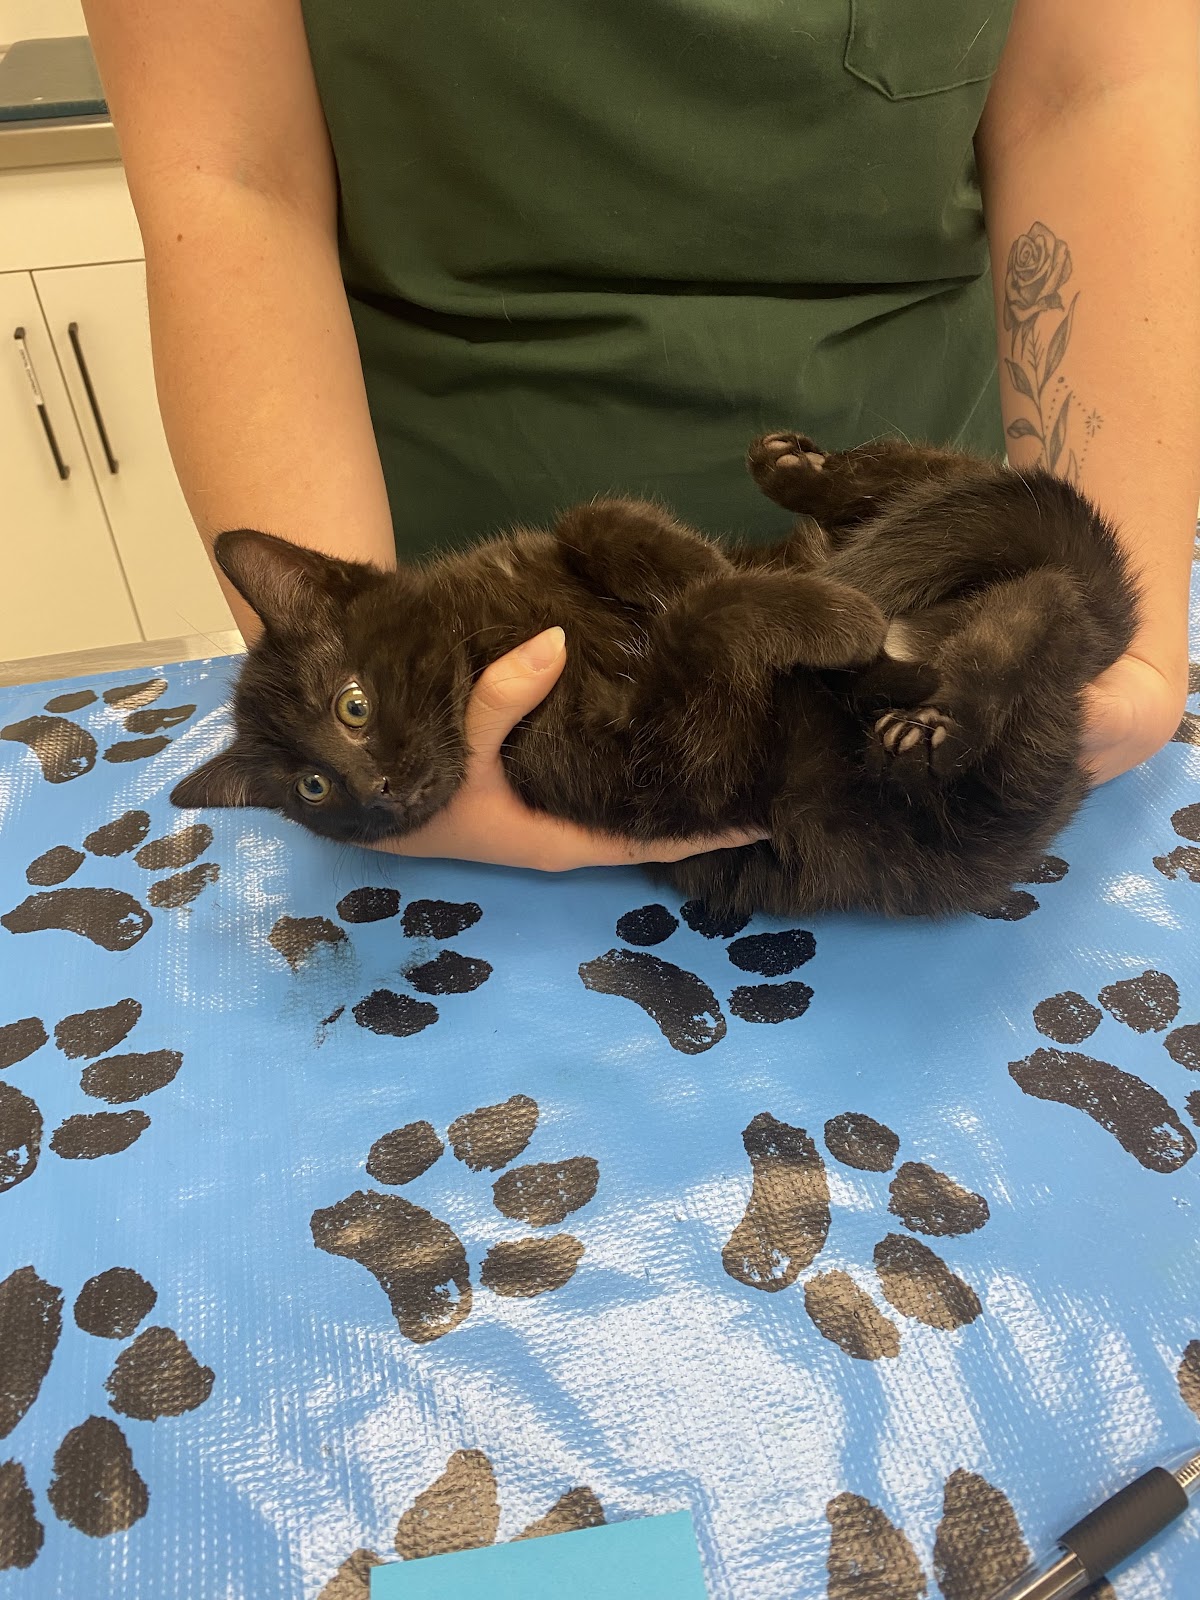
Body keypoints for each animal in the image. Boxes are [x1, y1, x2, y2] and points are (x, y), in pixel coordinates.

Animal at [171, 432, 1138, 918]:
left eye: (353, 706)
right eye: (313, 789)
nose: (377, 788)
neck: (484, 639)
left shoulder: (555, 547)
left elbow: (606, 522)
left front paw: (709, 568)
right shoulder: (664, 761)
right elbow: (698, 626)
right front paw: (826, 613)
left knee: (965, 490)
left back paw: (802, 474)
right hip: (965, 789)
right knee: (1034, 616)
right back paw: (929, 699)